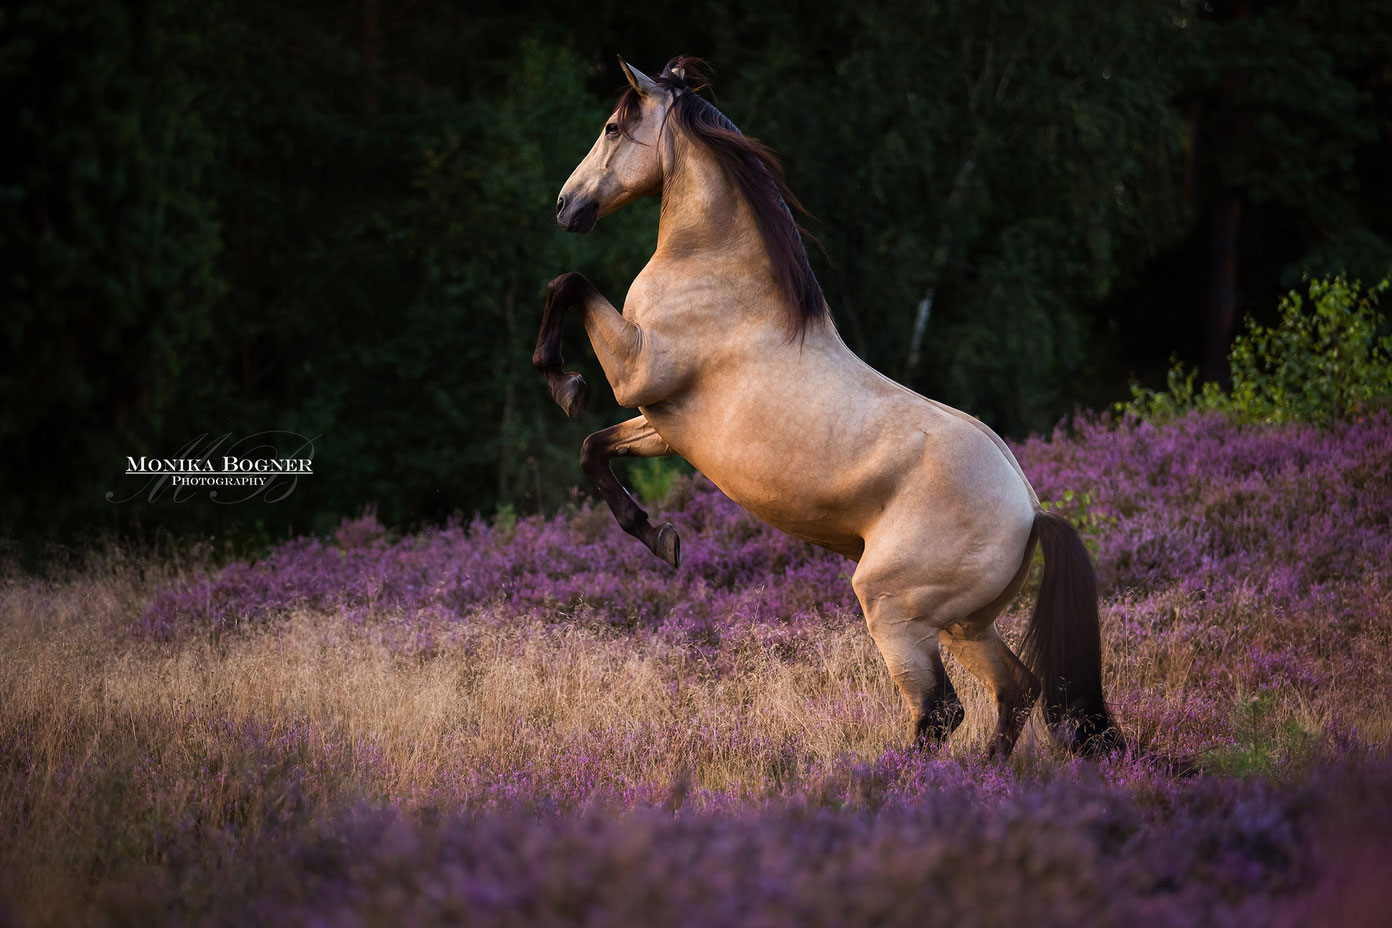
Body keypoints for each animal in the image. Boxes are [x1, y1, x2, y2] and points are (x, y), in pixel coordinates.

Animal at [535, 55, 1122, 760]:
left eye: (613, 126)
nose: (565, 206)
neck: (721, 277)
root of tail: (1031, 512)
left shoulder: (637, 370)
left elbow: (567, 285)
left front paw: (563, 381)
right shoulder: (663, 424)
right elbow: (593, 449)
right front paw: (659, 538)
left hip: (895, 610)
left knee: (940, 712)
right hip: (963, 625)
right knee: (1016, 691)